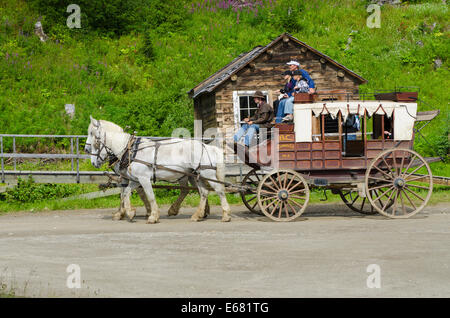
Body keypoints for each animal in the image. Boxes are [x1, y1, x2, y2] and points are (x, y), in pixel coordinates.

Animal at [85, 117, 232, 224]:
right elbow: (125, 193)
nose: (92, 160)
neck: (130, 150)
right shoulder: (134, 179)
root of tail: (207, 147)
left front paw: (152, 216)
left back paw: (225, 215)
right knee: (203, 192)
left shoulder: (143, 178)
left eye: (93, 135)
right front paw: (130, 212)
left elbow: (149, 196)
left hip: (206, 173)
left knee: (219, 190)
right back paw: (197, 215)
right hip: (197, 175)